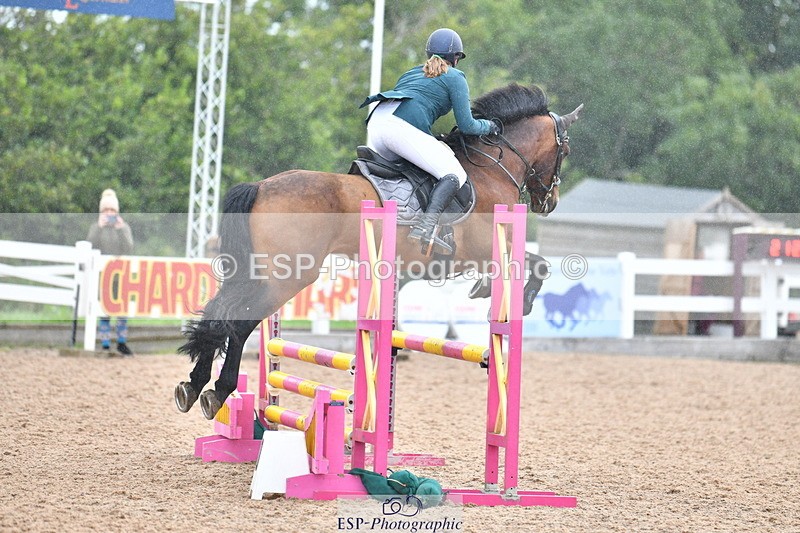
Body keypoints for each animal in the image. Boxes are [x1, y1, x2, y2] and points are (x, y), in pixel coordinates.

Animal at [174, 82, 583, 419]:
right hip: (286, 277)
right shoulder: (485, 250)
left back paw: (194, 385)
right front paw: (518, 301)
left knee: (218, 314)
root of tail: (260, 186)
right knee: (240, 322)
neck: (492, 170)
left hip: (257, 272)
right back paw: (218, 391)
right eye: (565, 150)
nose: (549, 203)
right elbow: (539, 264)